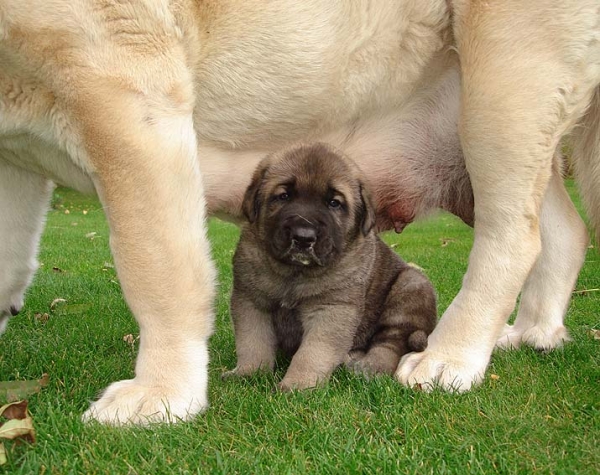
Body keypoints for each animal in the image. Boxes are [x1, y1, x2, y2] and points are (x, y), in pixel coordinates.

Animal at [225, 144, 436, 390]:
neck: (295, 273)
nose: (303, 237)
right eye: (284, 196)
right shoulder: (251, 301)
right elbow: (253, 343)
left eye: (334, 203)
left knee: (391, 342)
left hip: (411, 285)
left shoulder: (332, 308)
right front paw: (248, 372)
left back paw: (369, 367)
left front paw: (298, 385)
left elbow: (312, 352)